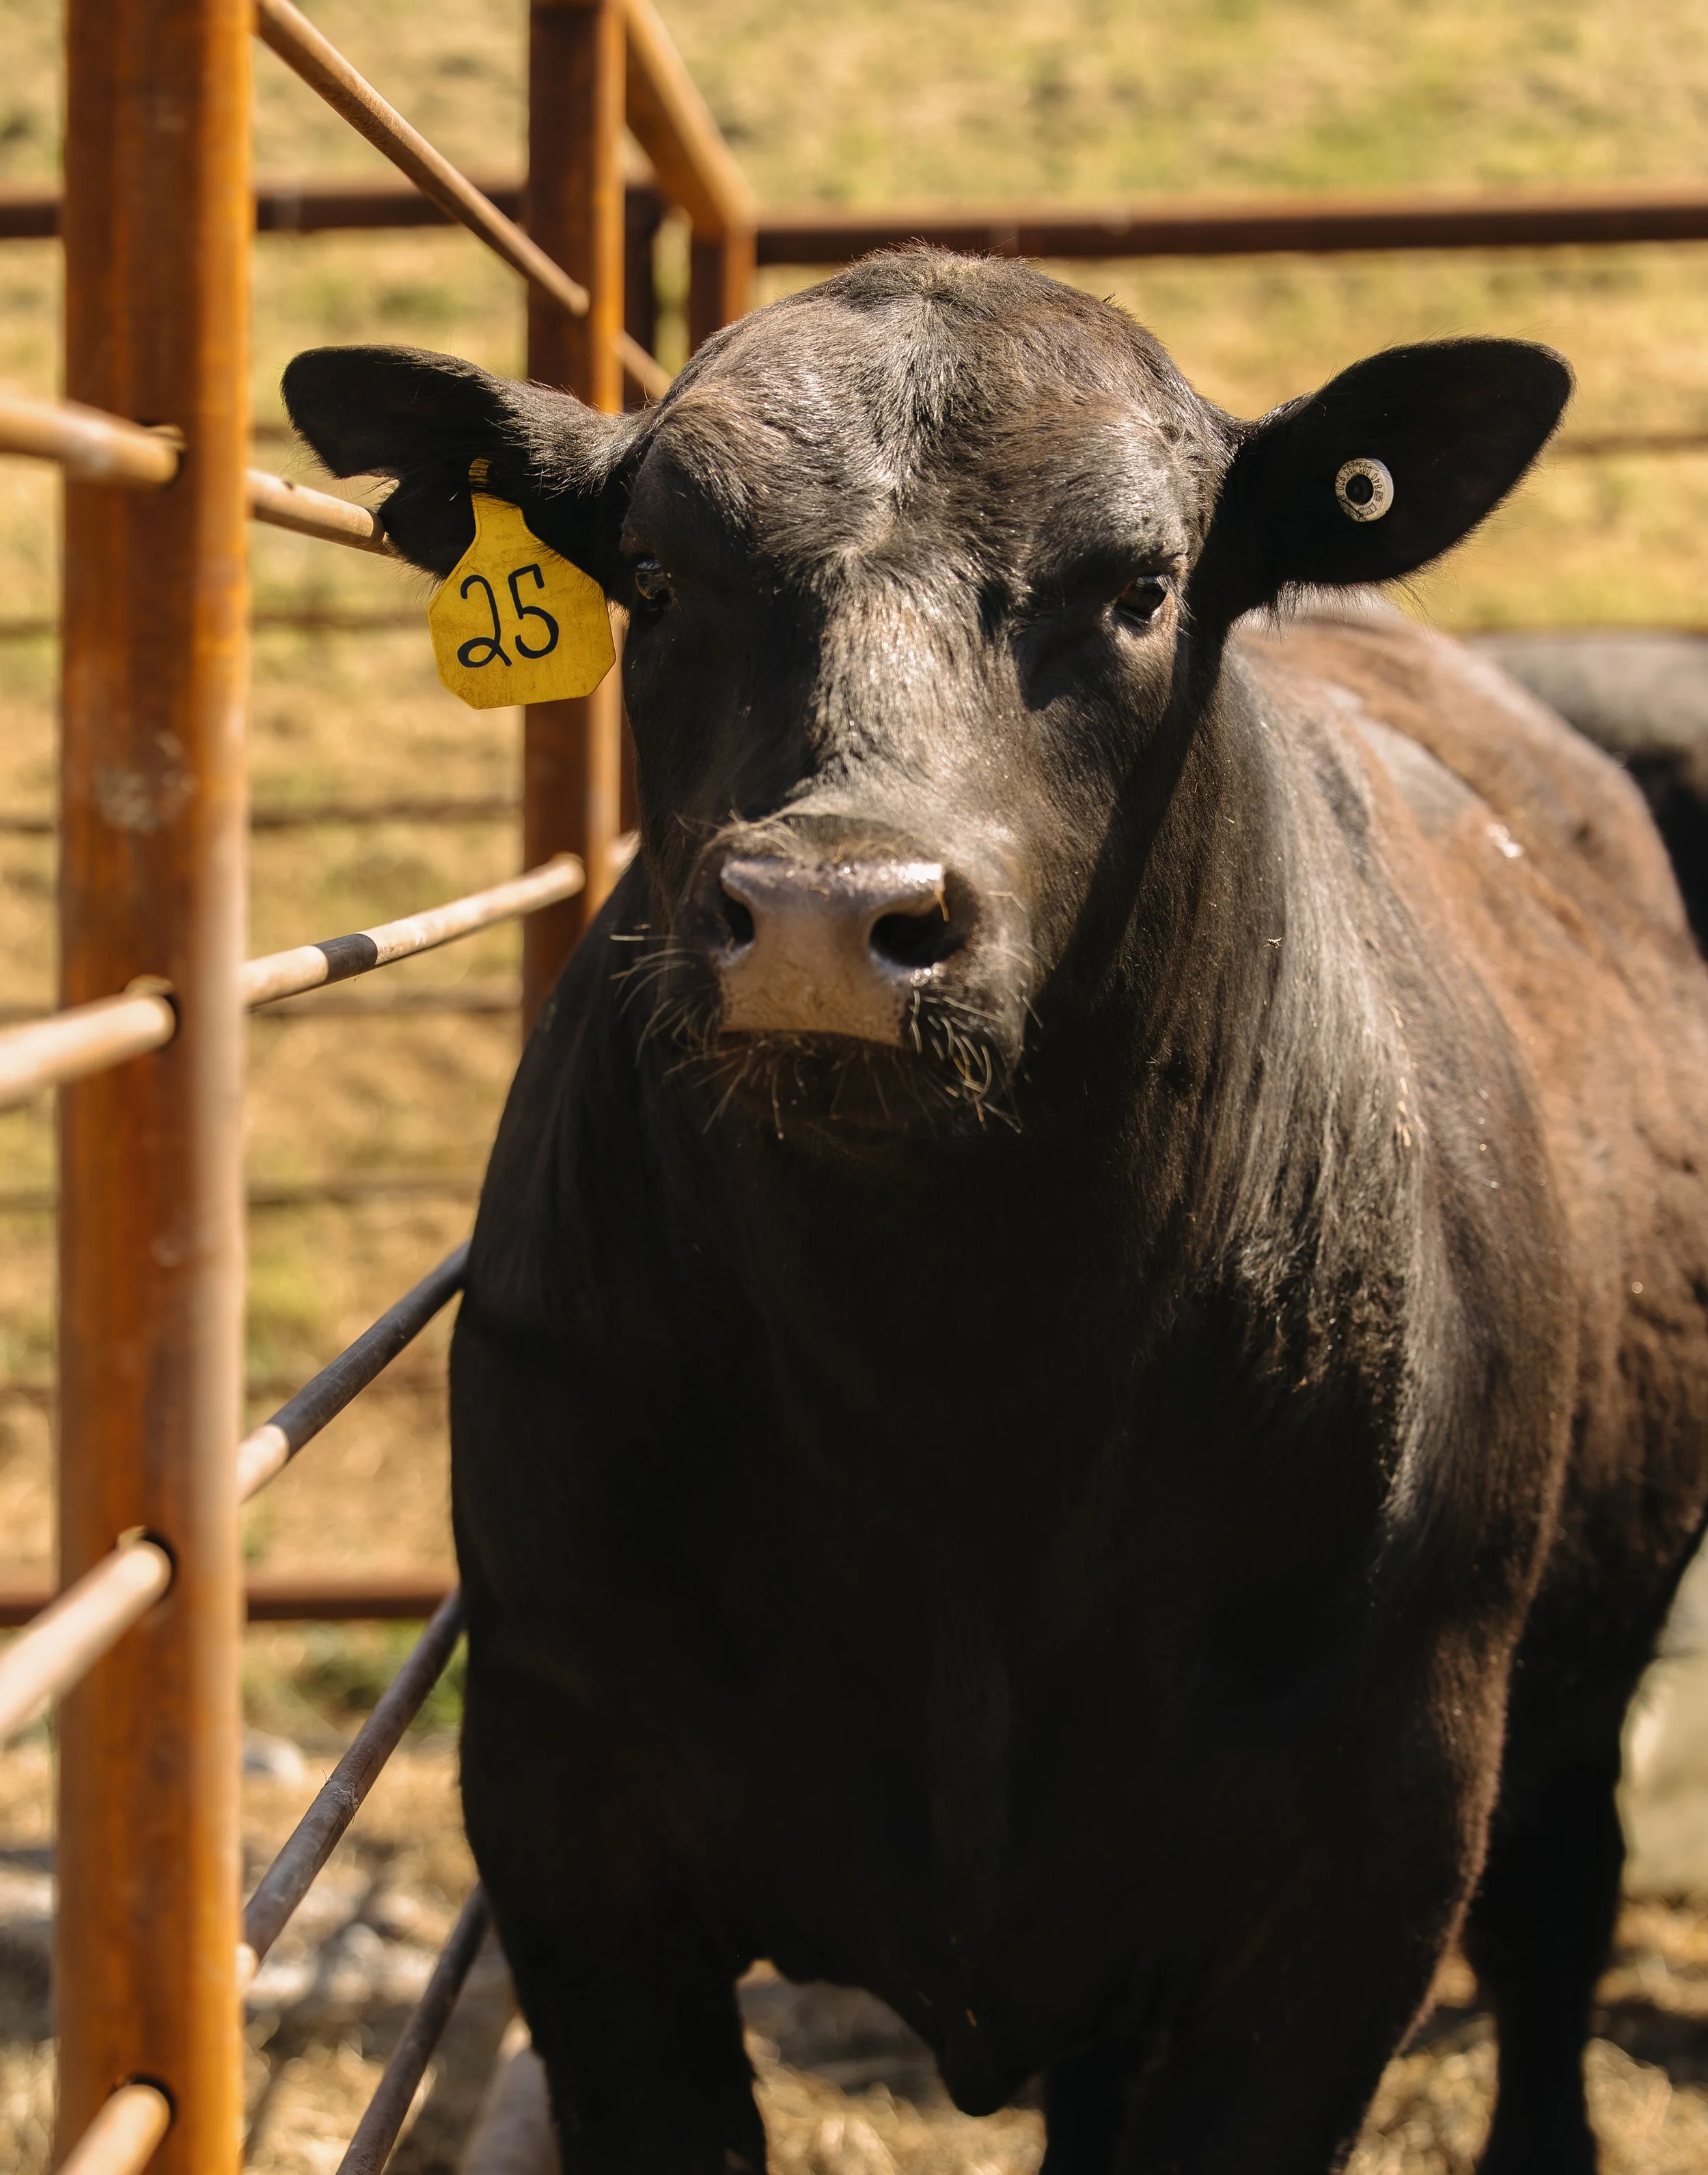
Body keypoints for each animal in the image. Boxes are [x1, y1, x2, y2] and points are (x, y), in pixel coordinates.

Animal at [284, 250, 1708, 2175]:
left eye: (1139, 586)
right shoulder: (564, 1811)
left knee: (1557, 1914)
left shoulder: (1367, 1845)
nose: (826, 910)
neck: (952, 1407)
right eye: (653, 577)